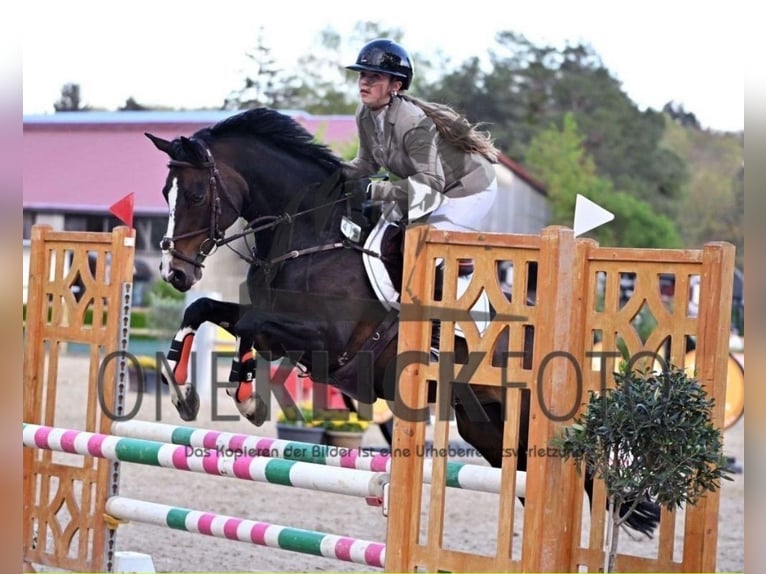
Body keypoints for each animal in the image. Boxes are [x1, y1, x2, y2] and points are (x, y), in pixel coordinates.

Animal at [146, 108, 660, 540]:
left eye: (196, 194)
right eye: (165, 193)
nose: (175, 272)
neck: (313, 236)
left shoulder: (327, 339)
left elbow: (250, 323)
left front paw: (246, 397)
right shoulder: (280, 328)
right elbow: (206, 312)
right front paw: (187, 392)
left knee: (586, 483)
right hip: (488, 426)